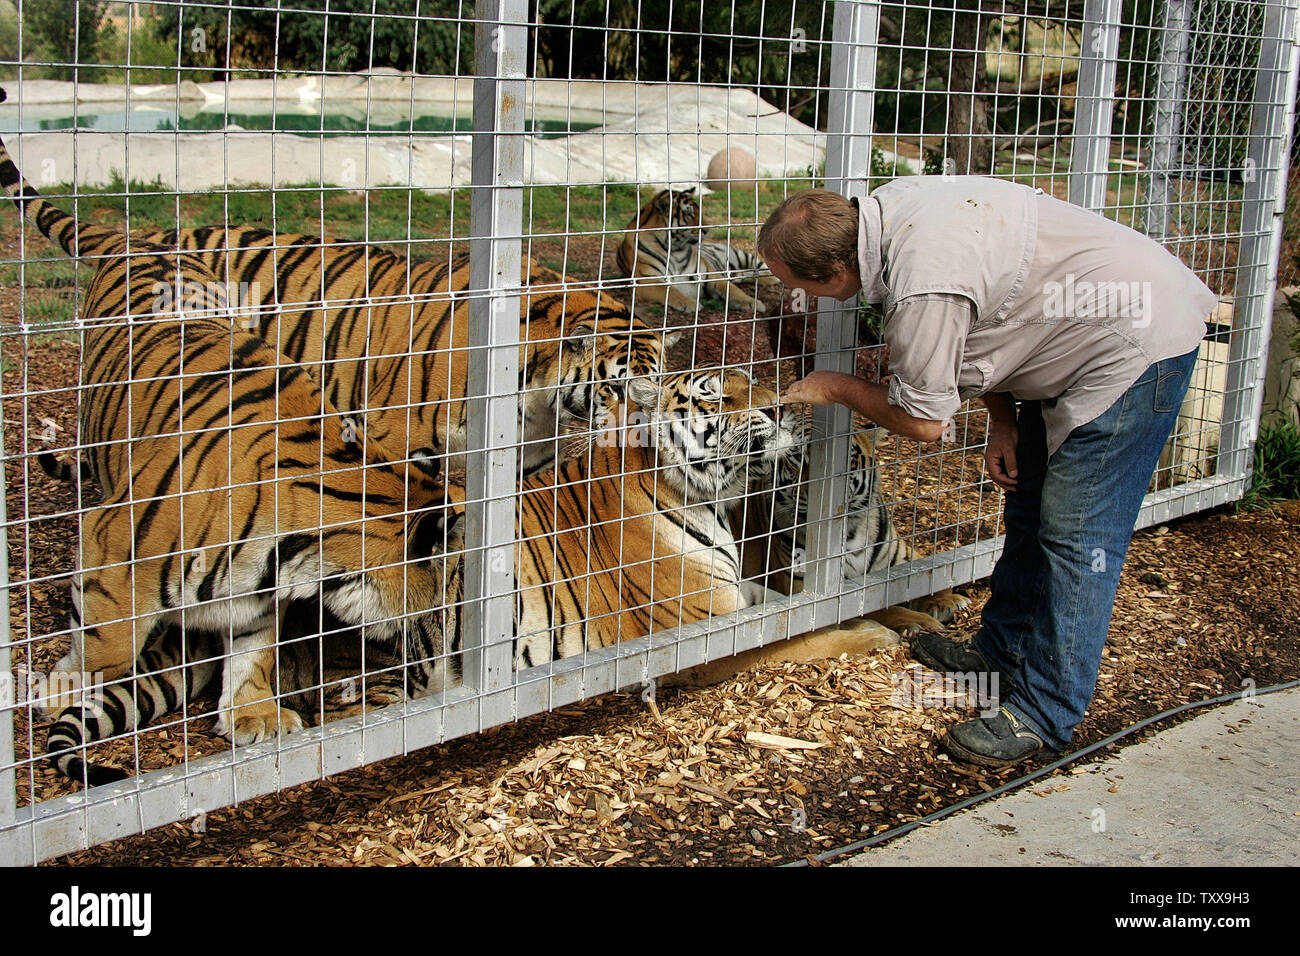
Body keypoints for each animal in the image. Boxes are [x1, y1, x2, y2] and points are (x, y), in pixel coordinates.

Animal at [0, 119, 467, 790]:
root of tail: (135, 236)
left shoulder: (257, 596)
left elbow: (252, 652)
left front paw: (253, 716)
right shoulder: (112, 547)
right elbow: (106, 647)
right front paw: (65, 687)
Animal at [613, 187, 774, 317]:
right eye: (689, 214)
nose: (707, 230)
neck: (674, 249)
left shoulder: (711, 274)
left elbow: (732, 290)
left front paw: (753, 302)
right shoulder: (647, 280)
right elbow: (669, 291)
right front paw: (690, 303)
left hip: (740, 255)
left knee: (759, 267)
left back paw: (772, 279)